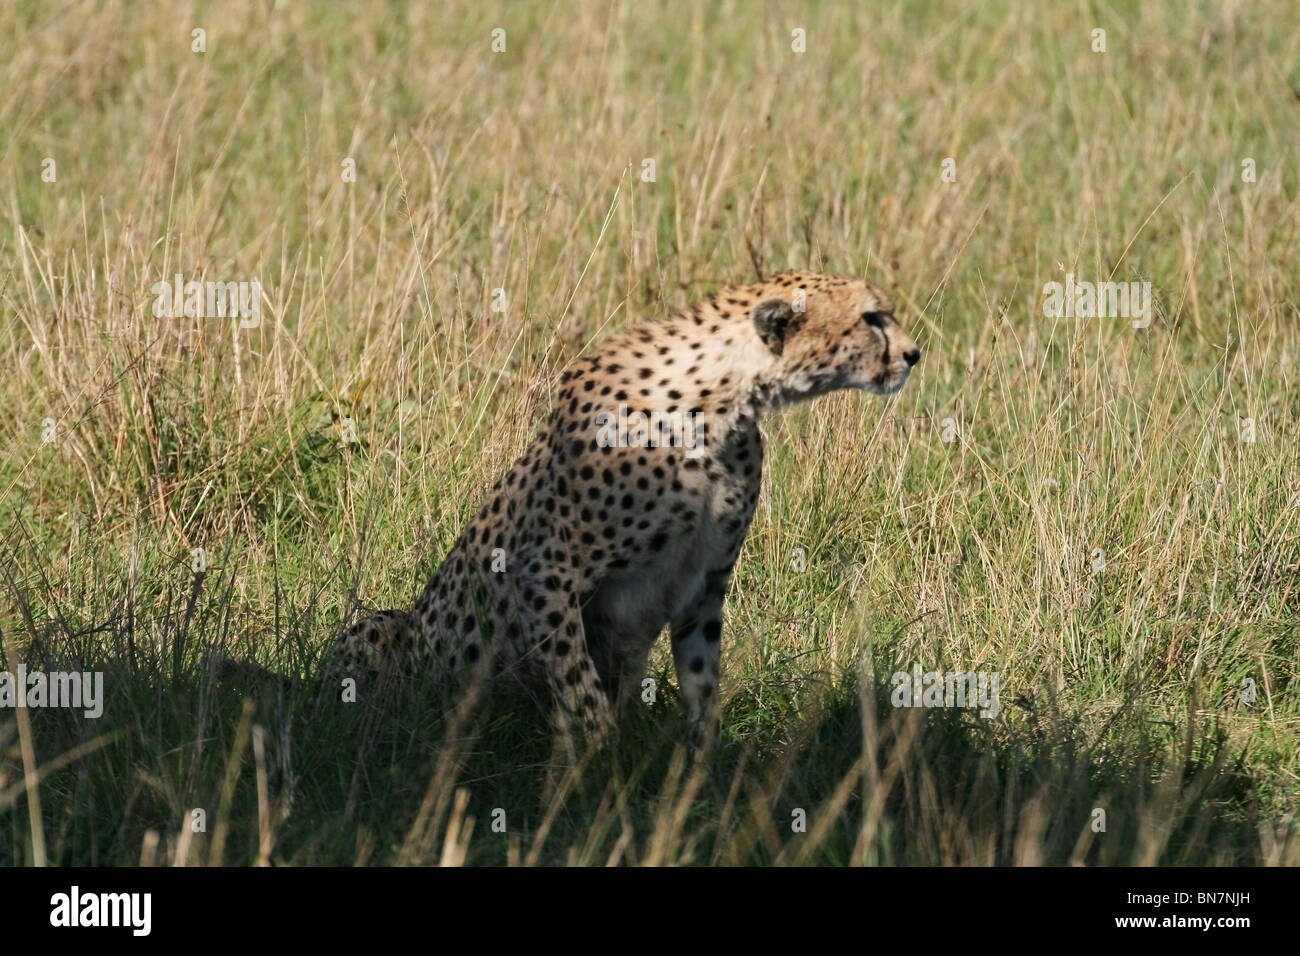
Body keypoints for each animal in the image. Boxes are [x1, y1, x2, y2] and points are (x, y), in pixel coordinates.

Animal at [330, 273, 920, 743]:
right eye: (871, 318)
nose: (915, 354)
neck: (720, 402)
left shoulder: (705, 582)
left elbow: (702, 679)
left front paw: (700, 768)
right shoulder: (546, 571)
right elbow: (580, 686)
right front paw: (601, 774)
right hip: (381, 631)